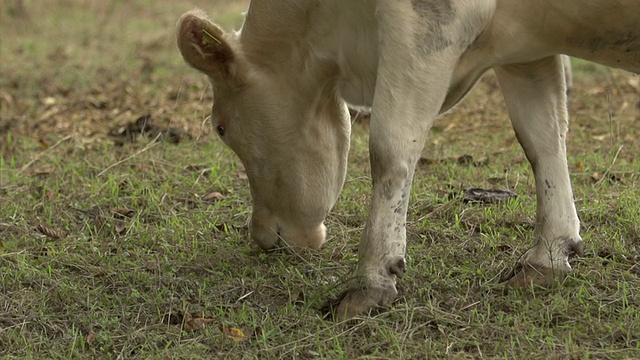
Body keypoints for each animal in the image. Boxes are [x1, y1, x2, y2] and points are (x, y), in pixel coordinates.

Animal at [175, 0, 640, 320]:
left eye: (221, 128)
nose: (261, 236)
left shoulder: (427, 24)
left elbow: (391, 146)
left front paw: (372, 280)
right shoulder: (525, 49)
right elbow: (542, 136)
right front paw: (549, 255)